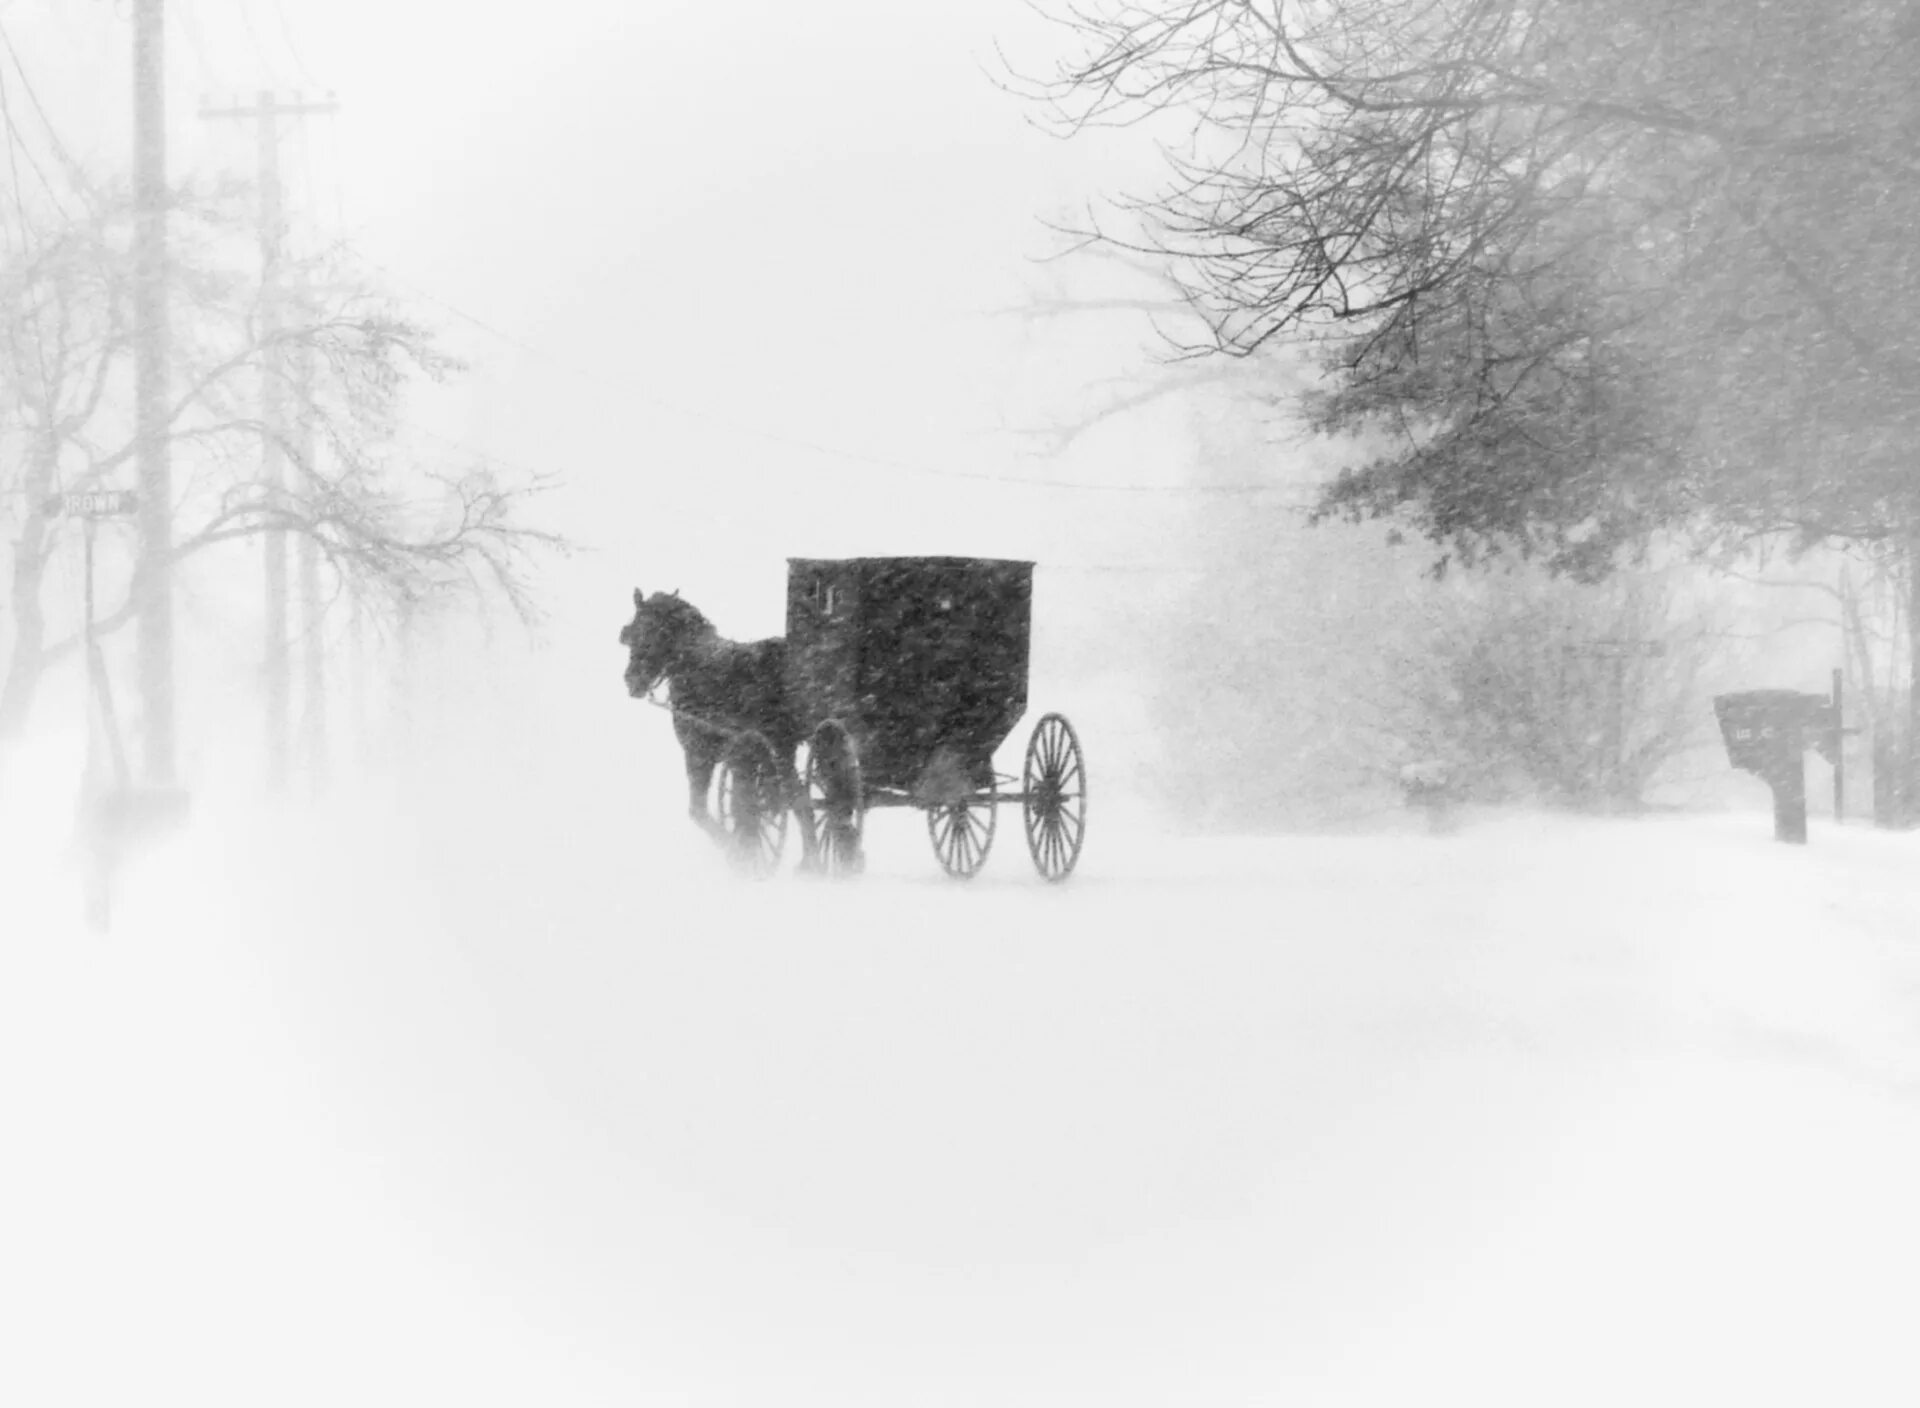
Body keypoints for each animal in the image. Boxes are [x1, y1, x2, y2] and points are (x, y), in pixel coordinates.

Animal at [618, 583, 814, 856]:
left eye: (645, 631)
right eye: (632, 633)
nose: (631, 679)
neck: (695, 664)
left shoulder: (699, 753)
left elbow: (703, 812)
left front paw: (737, 851)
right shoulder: (739, 758)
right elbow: (741, 809)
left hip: (778, 751)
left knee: (800, 804)